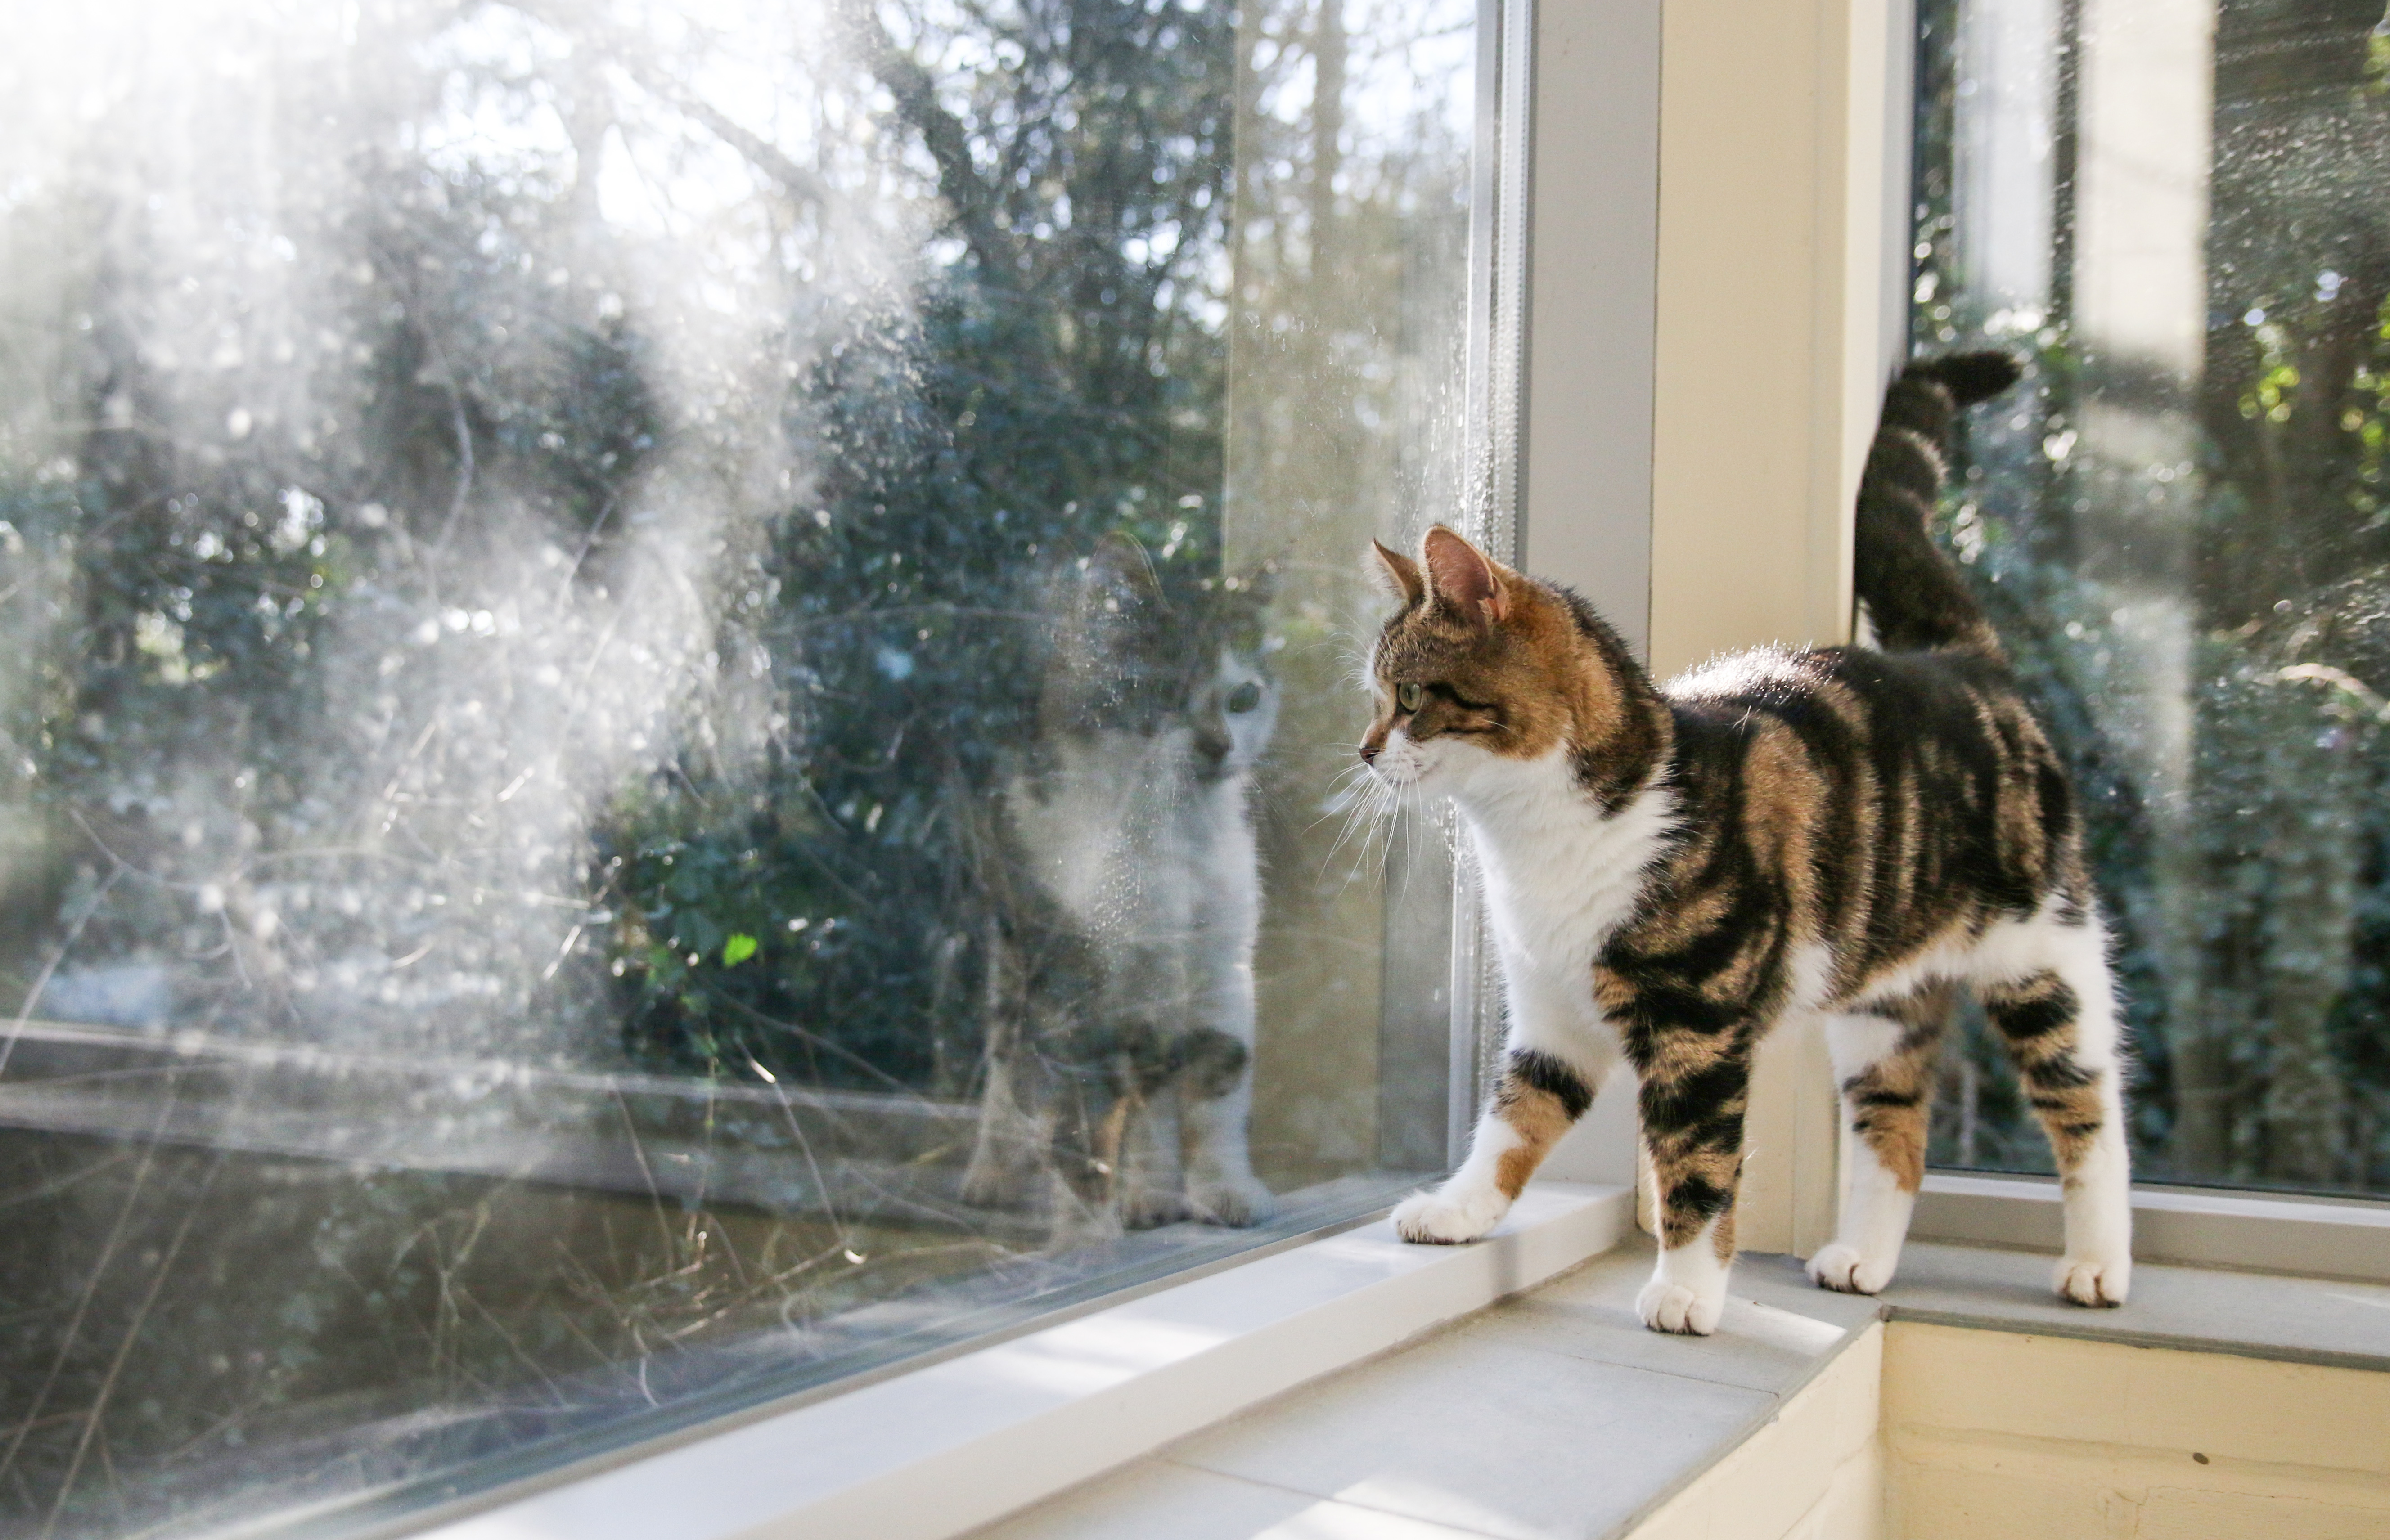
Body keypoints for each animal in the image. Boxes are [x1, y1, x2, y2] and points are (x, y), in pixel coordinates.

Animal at [956, 532, 1281, 1241]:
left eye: (1244, 698)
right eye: (1163, 693)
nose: (1219, 746)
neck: (1167, 835)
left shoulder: (1221, 965)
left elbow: (1217, 1087)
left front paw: (1224, 1190)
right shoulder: (1088, 980)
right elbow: (1101, 1108)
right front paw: (1110, 1218)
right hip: (1018, 948)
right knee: (1007, 1058)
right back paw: (996, 1170)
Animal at [1367, 358, 2132, 1337]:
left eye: (1408, 695)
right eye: (1374, 696)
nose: (1364, 749)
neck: (1546, 836)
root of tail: (1966, 660)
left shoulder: (1699, 1029)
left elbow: (1695, 1163)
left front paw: (1689, 1288)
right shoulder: (1548, 1011)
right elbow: (1513, 1116)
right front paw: (1459, 1208)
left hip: (2043, 956)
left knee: (2089, 1104)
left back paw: (2098, 1262)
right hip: (1880, 1004)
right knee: (1896, 1126)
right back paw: (1863, 1258)